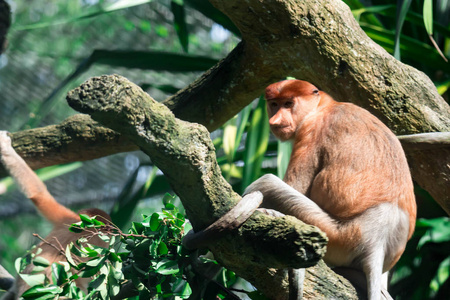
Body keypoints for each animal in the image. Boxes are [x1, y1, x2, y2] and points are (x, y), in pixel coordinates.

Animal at [244, 79, 416, 300]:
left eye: (289, 104)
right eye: (274, 104)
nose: (275, 121)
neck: (323, 106)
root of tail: (378, 240)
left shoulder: (310, 131)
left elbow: (295, 185)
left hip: (339, 236)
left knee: (267, 182)